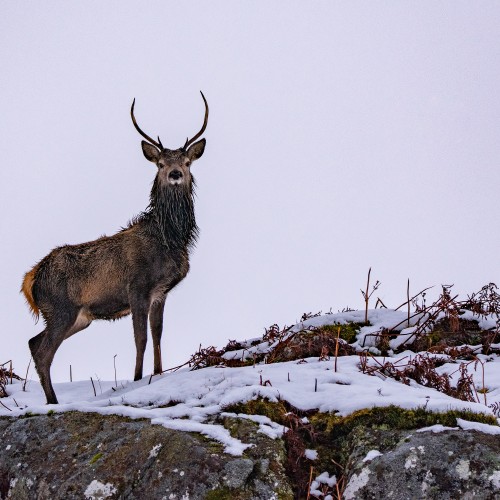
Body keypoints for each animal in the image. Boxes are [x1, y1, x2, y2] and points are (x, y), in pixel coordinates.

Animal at [21, 94, 209, 404]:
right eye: (159, 163)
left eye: (186, 162)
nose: (174, 173)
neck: (169, 240)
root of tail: (31, 279)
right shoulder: (137, 288)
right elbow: (140, 338)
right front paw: (137, 378)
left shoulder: (161, 292)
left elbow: (157, 334)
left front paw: (158, 374)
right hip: (61, 309)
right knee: (43, 351)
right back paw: (53, 402)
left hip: (78, 317)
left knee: (33, 341)